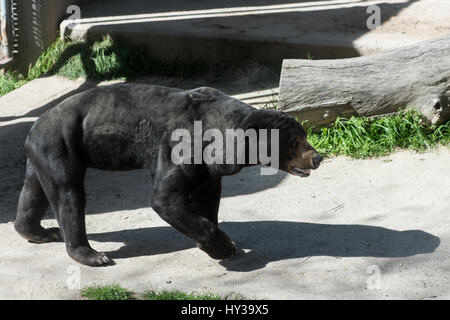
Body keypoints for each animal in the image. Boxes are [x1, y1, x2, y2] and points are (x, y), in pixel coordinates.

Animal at [14, 84, 324, 266]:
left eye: (304, 136)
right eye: (294, 142)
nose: (317, 157)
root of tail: (34, 127)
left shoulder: (208, 164)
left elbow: (207, 194)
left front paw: (212, 242)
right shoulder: (182, 145)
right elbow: (166, 197)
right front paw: (224, 247)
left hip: (45, 154)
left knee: (34, 191)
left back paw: (38, 231)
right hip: (61, 145)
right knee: (69, 195)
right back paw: (93, 254)